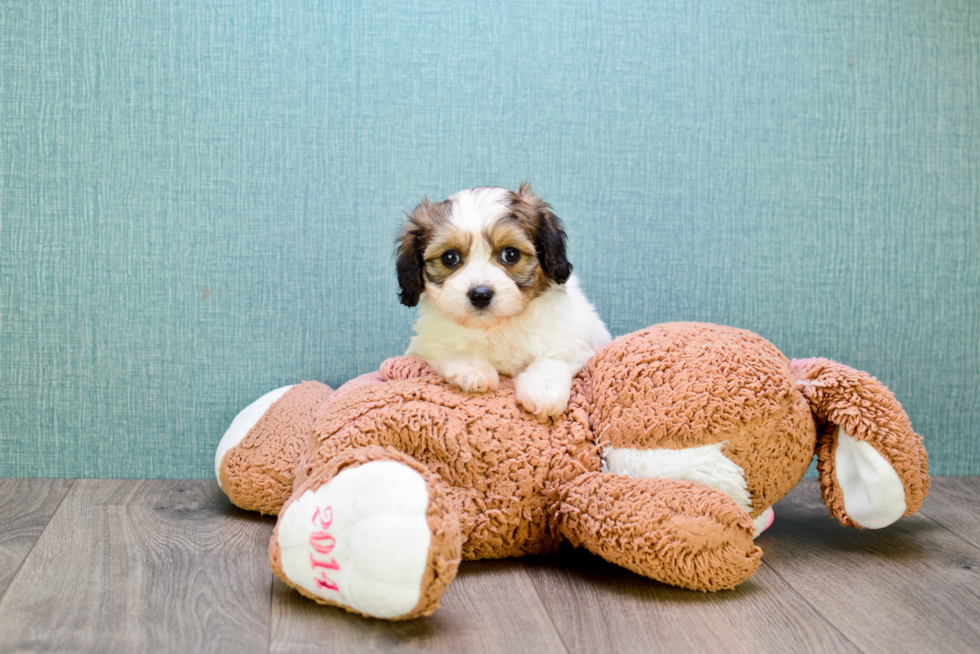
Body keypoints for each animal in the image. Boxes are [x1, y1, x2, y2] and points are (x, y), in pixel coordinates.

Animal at [394, 184, 608, 420]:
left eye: (511, 254)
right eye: (450, 257)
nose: (480, 294)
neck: (496, 325)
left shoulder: (573, 341)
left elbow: (553, 358)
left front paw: (543, 388)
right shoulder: (427, 342)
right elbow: (452, 348)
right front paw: (473, 370)